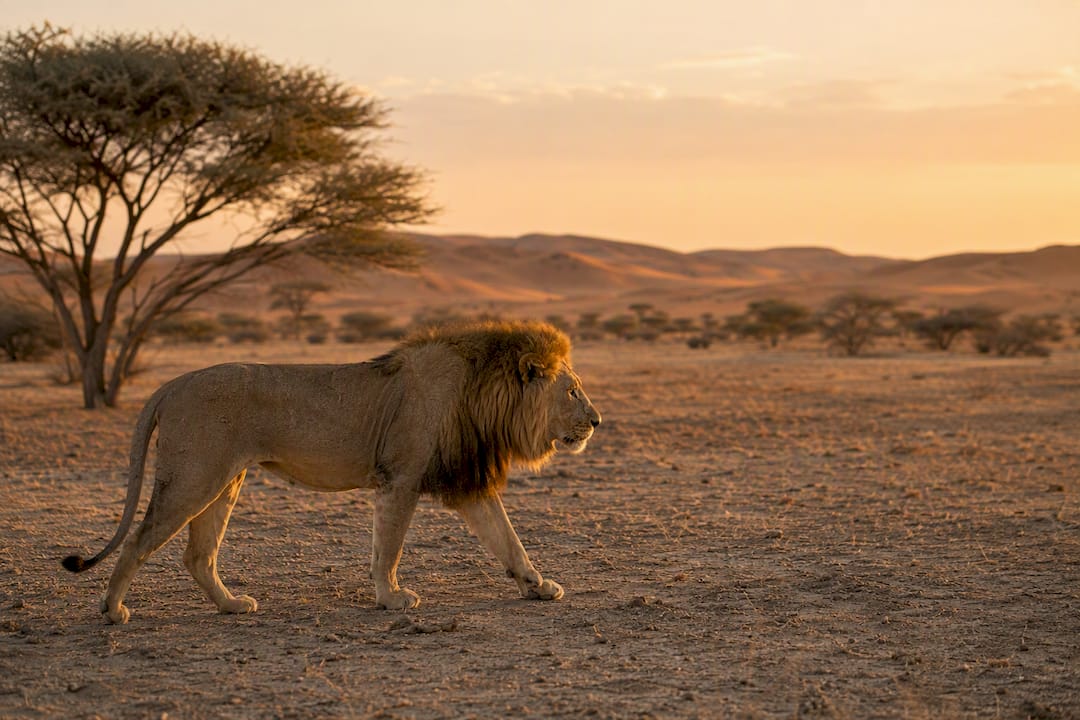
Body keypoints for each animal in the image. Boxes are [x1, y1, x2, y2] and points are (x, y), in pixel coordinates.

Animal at [62, 320, 600, 624]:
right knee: (139, 540)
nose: (596, 421)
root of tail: (174, 382)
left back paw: (231, 606)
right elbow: (388, 547)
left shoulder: (466, 481)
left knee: (198, 555)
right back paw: (112, 611)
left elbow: (508, 540)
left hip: (224, 481)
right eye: (573, 390)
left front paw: (538, 586)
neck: (484, 396)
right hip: (195, 477)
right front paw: (392, 599)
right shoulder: (401, 477)